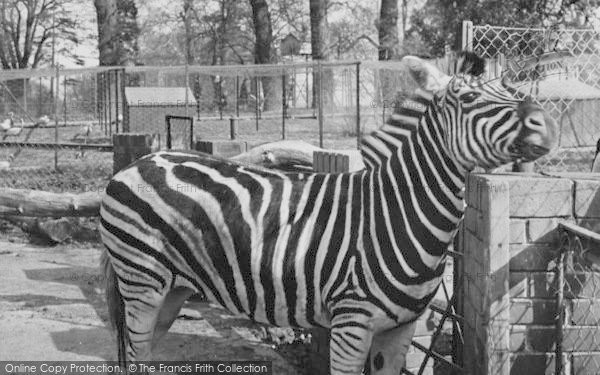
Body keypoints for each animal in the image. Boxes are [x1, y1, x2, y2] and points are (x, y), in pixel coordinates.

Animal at [99, 52, 556, 375]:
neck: (395, 212)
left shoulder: (400, 329)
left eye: (512, 88)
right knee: (135, 354)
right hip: (142, 281)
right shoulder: (350, 324)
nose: (547, 124)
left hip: (172, 289)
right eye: (469, 98)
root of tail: (141, 160)